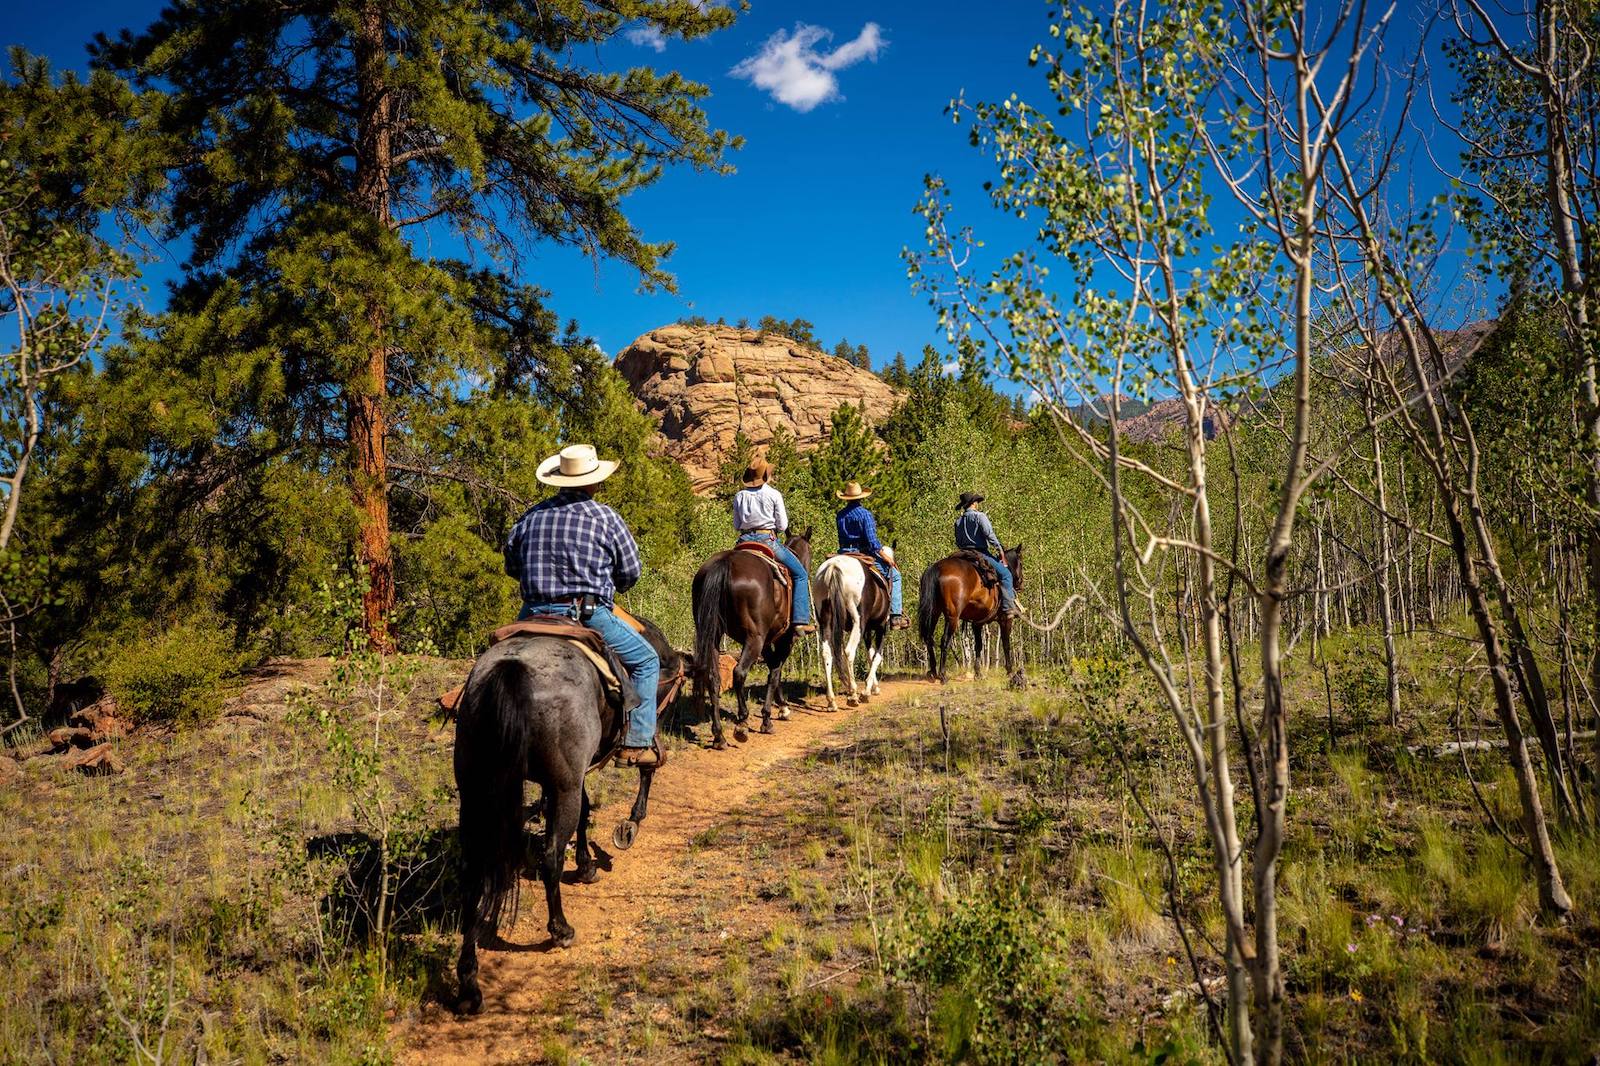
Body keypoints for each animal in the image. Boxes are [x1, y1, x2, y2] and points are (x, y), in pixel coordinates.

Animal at [688, 524, 812, 742]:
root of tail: (725, 564)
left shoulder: (767, 641)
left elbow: (773, 668)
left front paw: (780, 708)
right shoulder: (783, 639)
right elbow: (775, 672)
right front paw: (771, 716)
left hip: (713, 635)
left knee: (713, 677)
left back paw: (719, 735)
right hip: (754, 639)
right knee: (739, 673)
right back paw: (742, 724)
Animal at [915, 544, 1024, 685]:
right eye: (1020, 562)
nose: (1020, 583)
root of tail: (937, 568)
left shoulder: (977, 623)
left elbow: (978, 646)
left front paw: (978, 673)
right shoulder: (1005, 619)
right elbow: (1006, 644)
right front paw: (1010, 672)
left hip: (934, 612)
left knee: (929, 638)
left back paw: (933, 672)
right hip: (952, 617)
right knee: (945, 641)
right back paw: (943, 675)